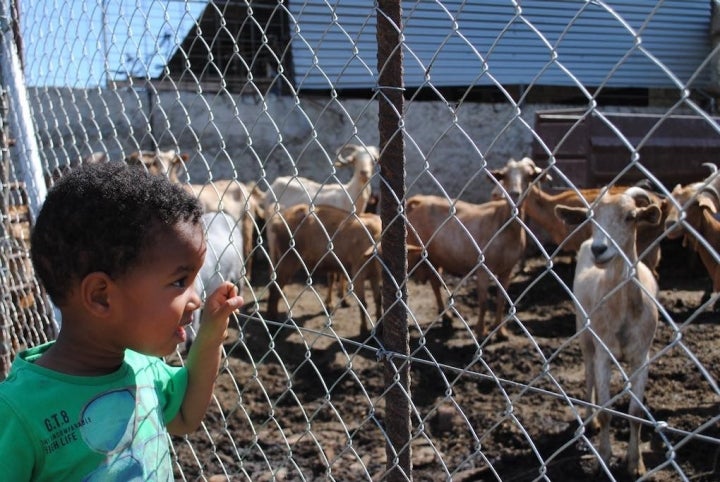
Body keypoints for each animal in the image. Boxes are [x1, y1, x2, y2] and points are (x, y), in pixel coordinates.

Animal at [264, 202, 386, 332]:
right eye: (380, 254)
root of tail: (278, 222)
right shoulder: (357, 273)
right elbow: (363, 303)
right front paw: (363, 329)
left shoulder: (374, 276)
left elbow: (378, 299)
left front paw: (380, 327)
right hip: (289, 258)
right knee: (274, 289)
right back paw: (272, 323)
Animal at [408, 158, 544, 338]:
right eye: (504, 176)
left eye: (528, 176)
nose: (515, 193)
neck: (502, 223)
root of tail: (419, 201)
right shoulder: (483, 269)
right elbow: (484, 302)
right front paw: (480, 331)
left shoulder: (507, 269)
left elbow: (501, 299)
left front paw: (500, 331)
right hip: (423, 252)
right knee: (433, 283)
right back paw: (445, 318)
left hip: (434, 256)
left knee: (435, 282)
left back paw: (446, 316)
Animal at [556, 186, 660, 476]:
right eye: (592, 218)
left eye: (630, 216)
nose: (598, 249)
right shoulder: (604, 353)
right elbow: (605, 410)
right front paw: (603, 458)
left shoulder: (642, 356)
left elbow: (635, 413)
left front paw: (636, 464)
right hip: (584, 332)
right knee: (589, 373)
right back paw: (589, 422)